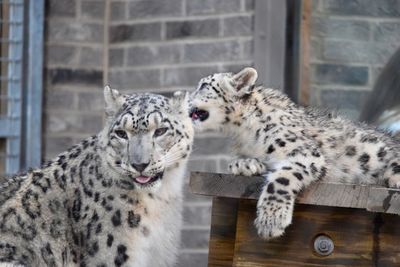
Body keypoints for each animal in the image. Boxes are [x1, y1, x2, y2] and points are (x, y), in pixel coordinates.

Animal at [189, 66, 400, 241]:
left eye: (204, 85)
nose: (186, 99)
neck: (243, 132)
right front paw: (245, 164)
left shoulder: (305, 152)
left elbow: (281, 179)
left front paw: (271, 220)